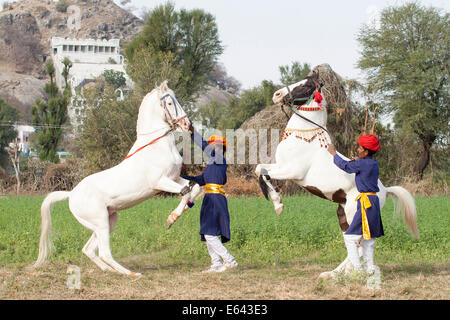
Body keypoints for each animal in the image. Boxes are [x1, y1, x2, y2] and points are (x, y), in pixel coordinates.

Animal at [35, 80, 202, 276]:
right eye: (169, 102)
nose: (188, 125)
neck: (157, 146)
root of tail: (71, 194)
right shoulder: (160, 182)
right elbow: (185, 192)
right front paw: (172, 219)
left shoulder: (174, 178)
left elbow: (194, 188)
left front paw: (175, 215)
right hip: (100, 222)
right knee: (104, 252)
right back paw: (131, 274)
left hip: (108, 220)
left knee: (89, 250)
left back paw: (110, 271)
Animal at [255, 72, 420, 278]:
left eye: (306, 86)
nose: (276, 95)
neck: (304, 138)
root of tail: (385, 190)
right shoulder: (280, 165)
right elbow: (260, 169)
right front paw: (276, 199)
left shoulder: (291, 171)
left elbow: (262, 172)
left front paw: (278, 204)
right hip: (342, 215)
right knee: (353, 244)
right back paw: (335, 273)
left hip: (353, 216)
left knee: (358, 245)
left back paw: (345, 274)